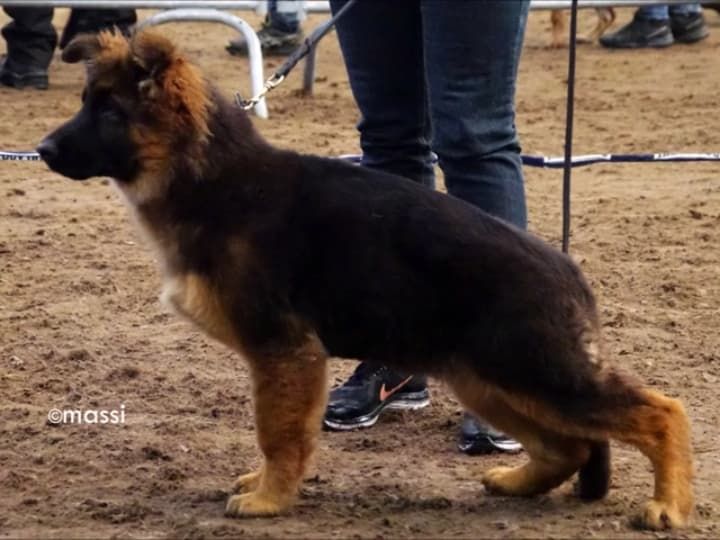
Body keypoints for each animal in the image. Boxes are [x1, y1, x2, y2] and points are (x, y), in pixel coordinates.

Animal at [38, 30, 692, 532]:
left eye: (110, 113)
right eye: (86, 102)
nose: (41, 149)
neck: (214, 178)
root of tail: (568, 272)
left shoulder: (284, 352)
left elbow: (278, 434)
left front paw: (270, 498)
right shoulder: (287, 359)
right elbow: (277, 434)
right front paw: (265, 486)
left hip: (534, 372)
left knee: (661, 412)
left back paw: (668, 505)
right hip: (487, 380)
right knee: (571, 445)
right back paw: (518, 481)